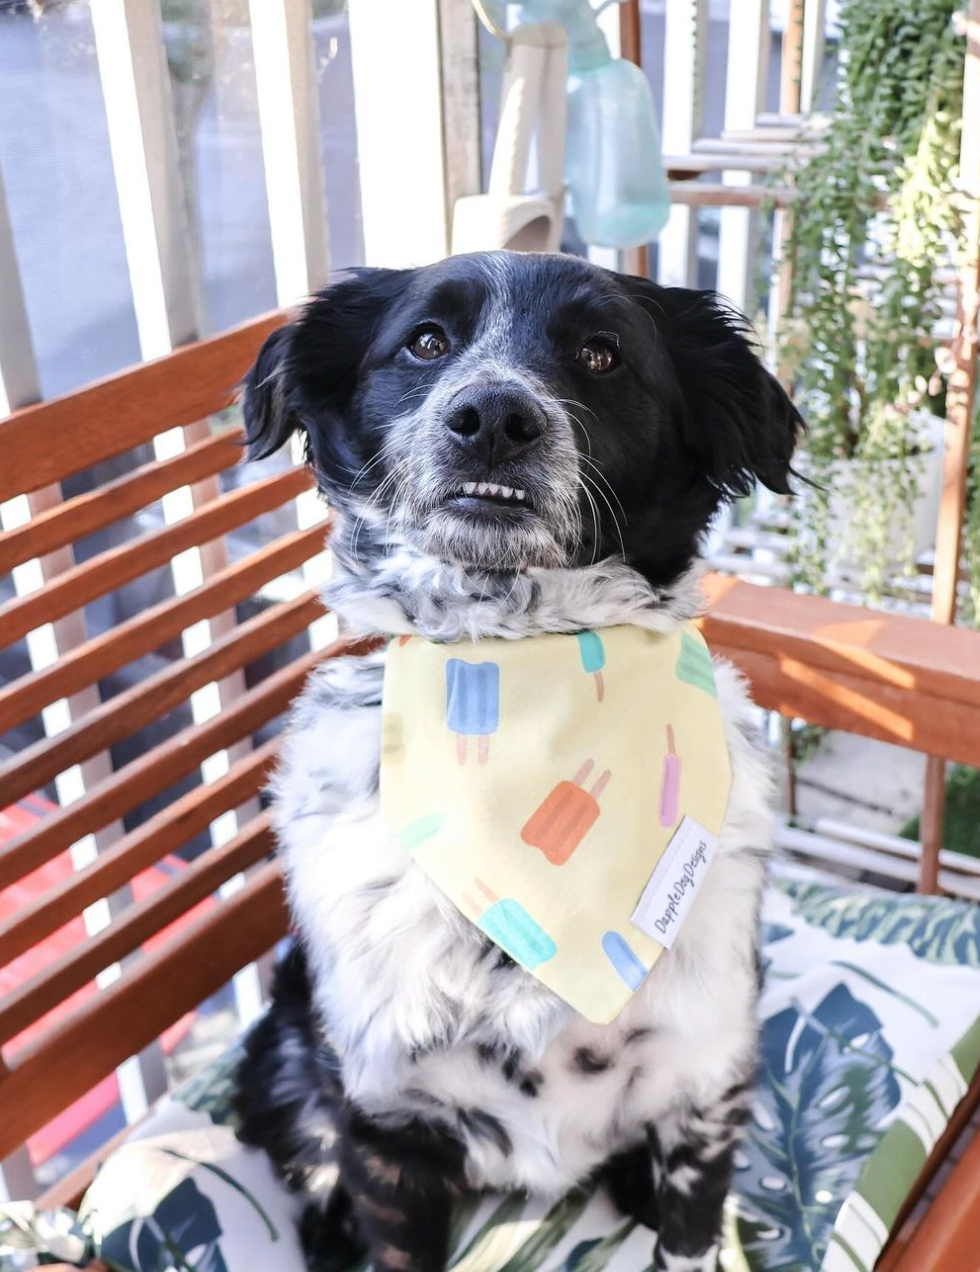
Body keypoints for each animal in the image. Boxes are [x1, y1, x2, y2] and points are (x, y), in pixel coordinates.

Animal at [232, 250, 799, 1272]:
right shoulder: (382, 1114)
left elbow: (692, 1230)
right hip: (285, 1051)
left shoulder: (706, 1083)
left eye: (601, 353)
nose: (493, 417)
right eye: (425, 342)